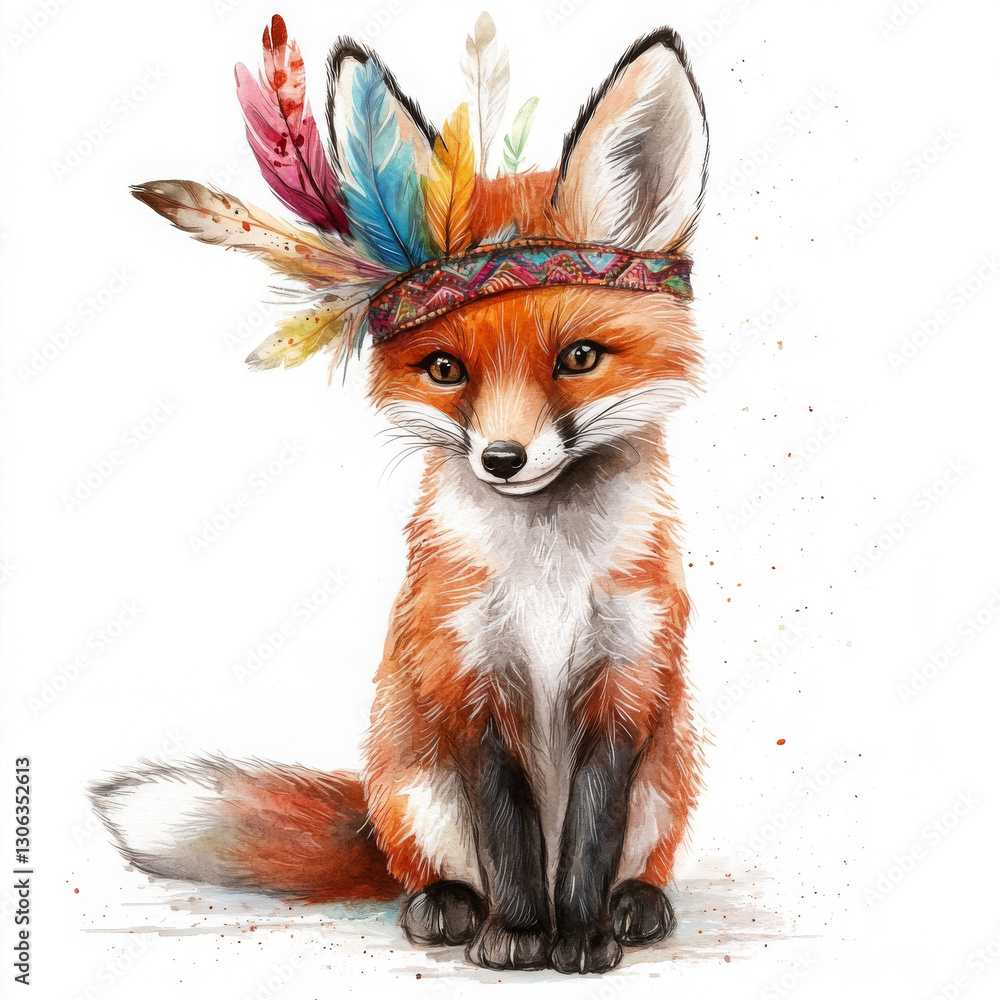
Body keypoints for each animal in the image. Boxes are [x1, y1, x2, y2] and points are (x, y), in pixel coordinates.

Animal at [91, 15, 709, 975]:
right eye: (446, 369)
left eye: (578, 358)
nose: (502, 458)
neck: (546, 581)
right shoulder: (462, 680)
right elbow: (508, 833)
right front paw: (519, 934)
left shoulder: (629, 683)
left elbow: (588, 839)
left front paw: (579, 935)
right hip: (413, 781)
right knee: (423, 868)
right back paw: (447, 908)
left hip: (666, 779)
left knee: (637, 857)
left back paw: (636, 905)